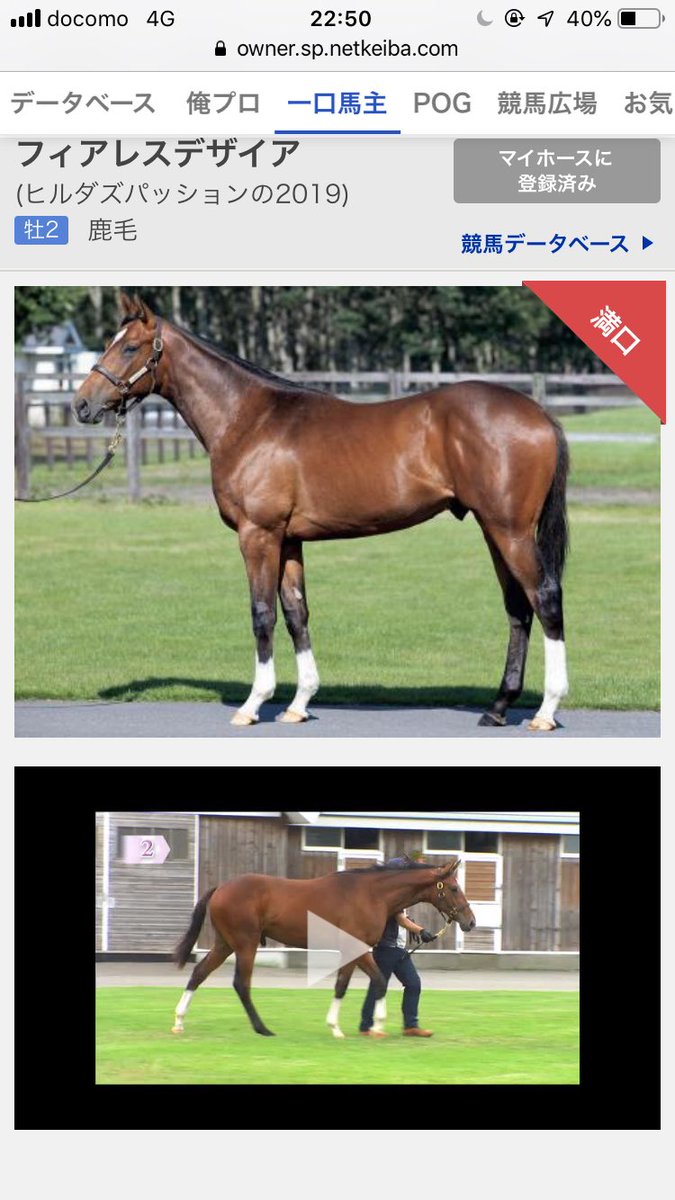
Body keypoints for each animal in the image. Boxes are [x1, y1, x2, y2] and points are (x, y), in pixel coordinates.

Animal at [73, 292, 570, 731]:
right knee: (518, 607)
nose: (82, 404)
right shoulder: (289, 539)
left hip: (510, 530)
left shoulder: (258, 534)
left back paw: (545, 711)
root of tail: (541, 415)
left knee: (545, 597)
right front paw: (299, 704)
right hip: (494, 529)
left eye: (130, 347)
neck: (249, 419)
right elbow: (297, 613)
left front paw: (254, 704)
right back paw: (499, 708)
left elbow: (262, 613)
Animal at [171, 859, 476, 1038]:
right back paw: (263, 1028)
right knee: (241, 983)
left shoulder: (357, 951)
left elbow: (372, 981)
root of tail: (221, 888)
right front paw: (343, 1027)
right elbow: (352, 984)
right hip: (246, 943)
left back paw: (179, 1021)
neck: (371, 894)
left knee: (199, 973)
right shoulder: (354, 948)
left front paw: (370, 1026)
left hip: (225, 944)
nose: (470, 921)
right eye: (454, 888)